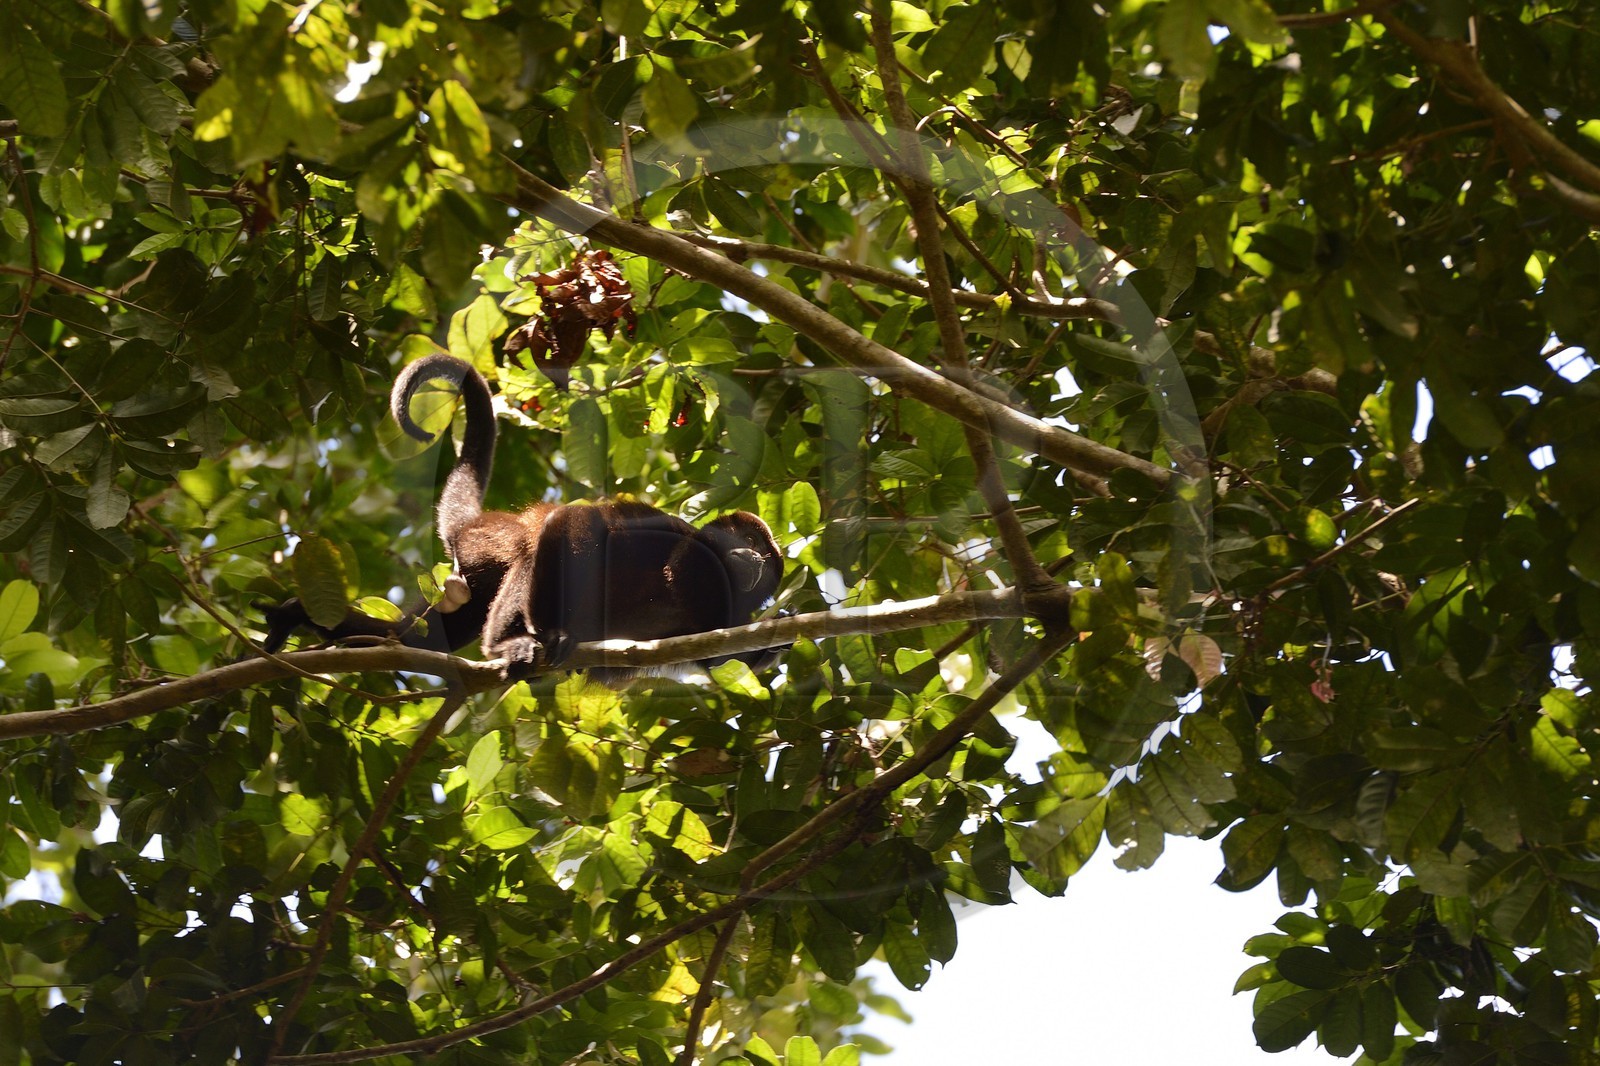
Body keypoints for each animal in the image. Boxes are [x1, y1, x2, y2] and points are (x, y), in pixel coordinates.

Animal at [262, 354, 784, 683]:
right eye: (751, 542)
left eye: (766, 563)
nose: (756, 560)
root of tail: (472, 523)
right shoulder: (673, 535)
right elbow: (579, 524)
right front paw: (546, 635)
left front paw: (772, 640)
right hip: (487, 541)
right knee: (528, 555)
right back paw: (507, 644)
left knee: (420, 636)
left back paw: (306, 618)